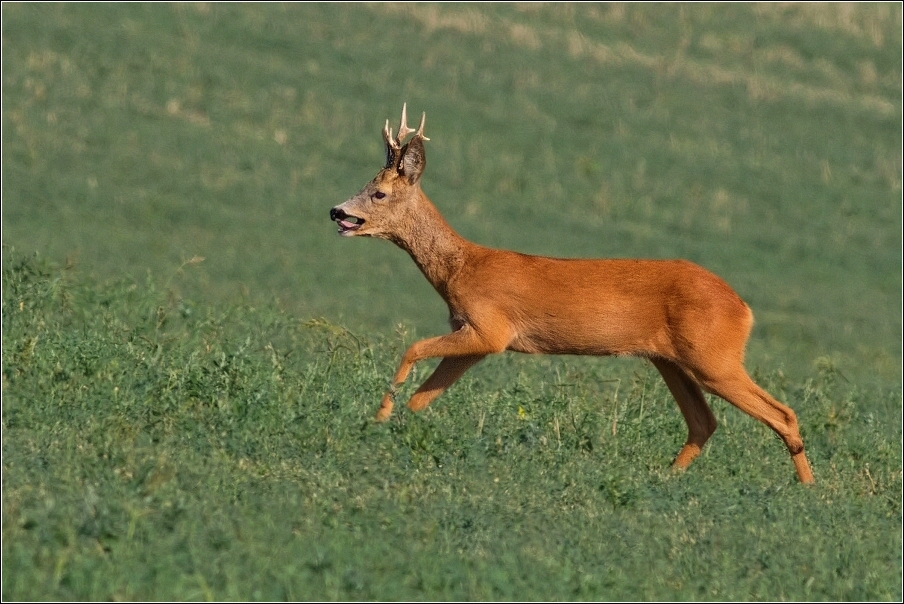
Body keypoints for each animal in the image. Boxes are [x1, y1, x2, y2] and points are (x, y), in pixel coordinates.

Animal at [328, 102, 816, 482]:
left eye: (378, 192)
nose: (336, 210)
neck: (459, 269)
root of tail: (744, 308)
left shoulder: (491, 329)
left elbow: (411, 349)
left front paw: (379, 415)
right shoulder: (475, 338)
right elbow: (423, 398)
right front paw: (391, 425)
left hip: (714, 356)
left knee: (782, 414)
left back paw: (807, 491)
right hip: (672, 360)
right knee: (704, 422)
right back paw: (667, 478)